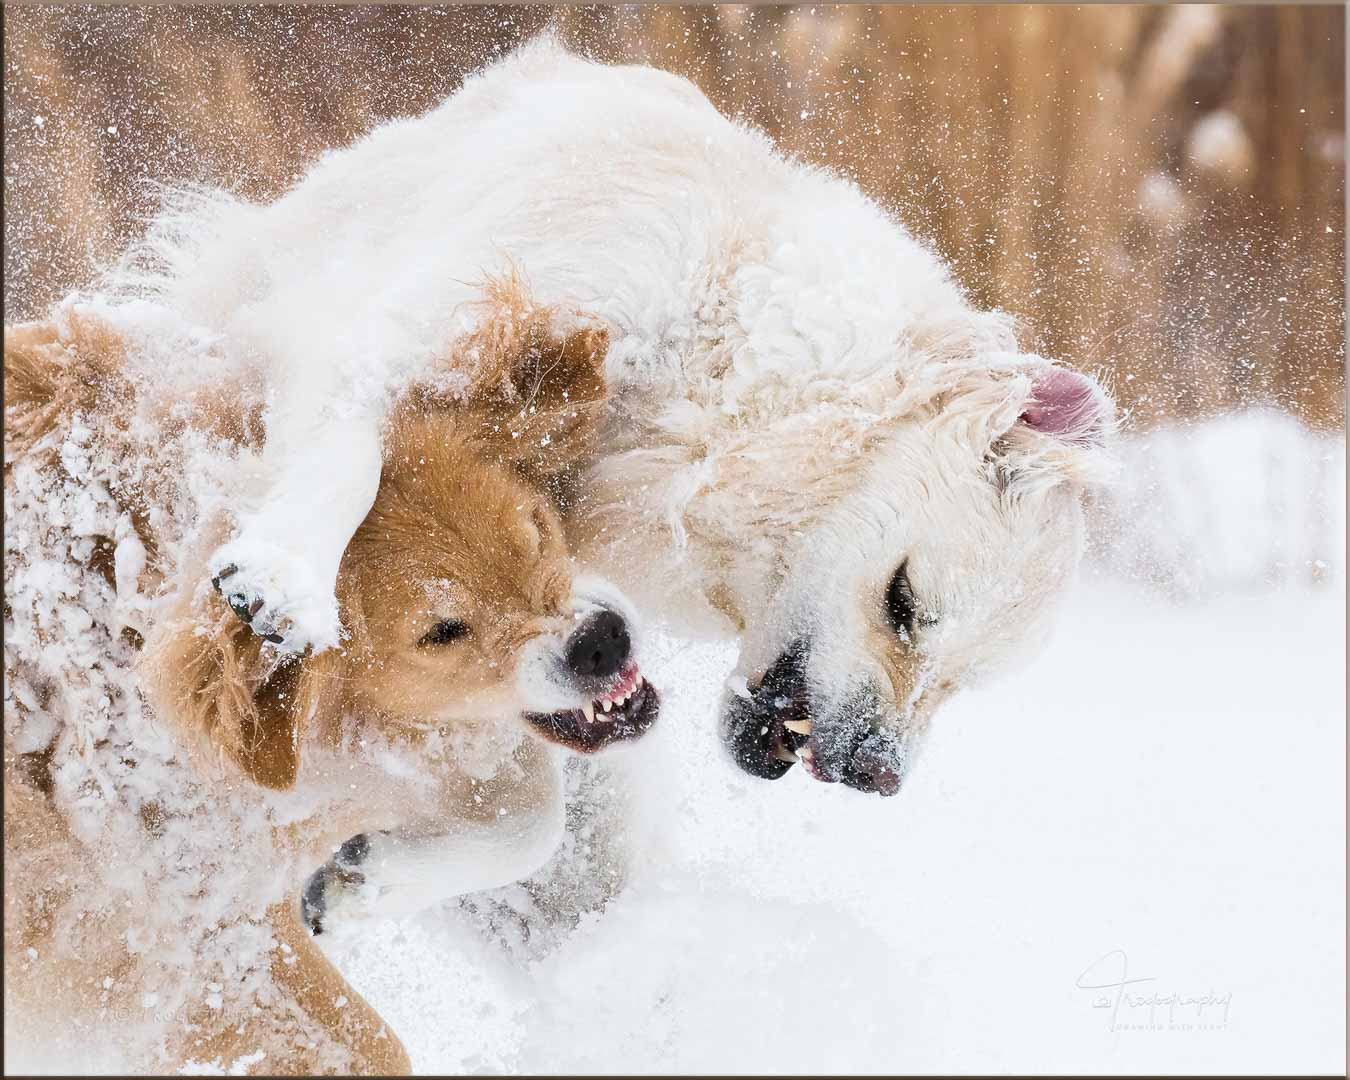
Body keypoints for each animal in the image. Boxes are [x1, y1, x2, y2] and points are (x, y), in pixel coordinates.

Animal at [105, 37, 1112, 799]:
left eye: (964, 680)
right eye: (904, 605)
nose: (877, 777)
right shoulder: (408, 323)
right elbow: (346, 455)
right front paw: (283, 576)